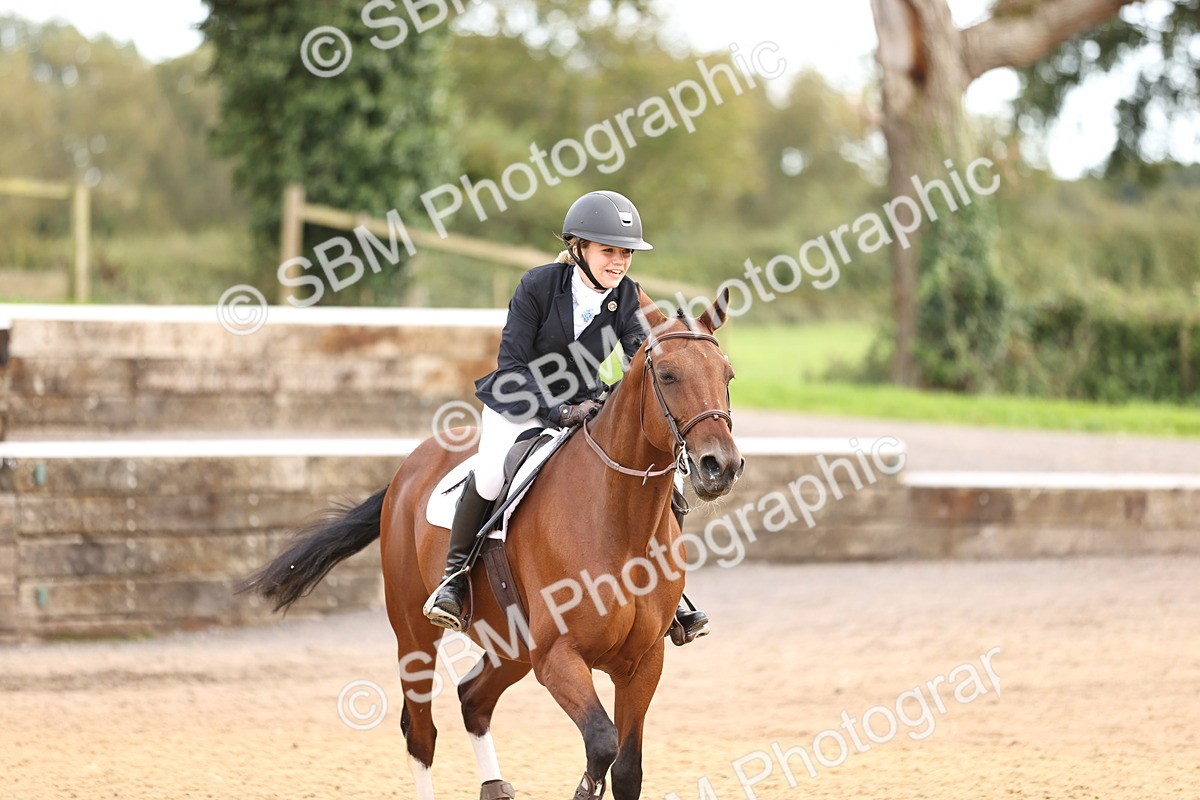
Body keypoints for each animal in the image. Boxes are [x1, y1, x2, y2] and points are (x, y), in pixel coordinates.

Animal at [240, 288, 743, 800]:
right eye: (668, 375)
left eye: (727, 375)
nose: (720, 466)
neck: (621, 523)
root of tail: (408, 467)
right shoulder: (557, 657)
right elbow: (600, 744)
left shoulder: (643, 663)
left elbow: (627, 770)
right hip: (415, 633)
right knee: (421, 732)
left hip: (510, 644)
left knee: (473, 699)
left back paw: (494, 784)